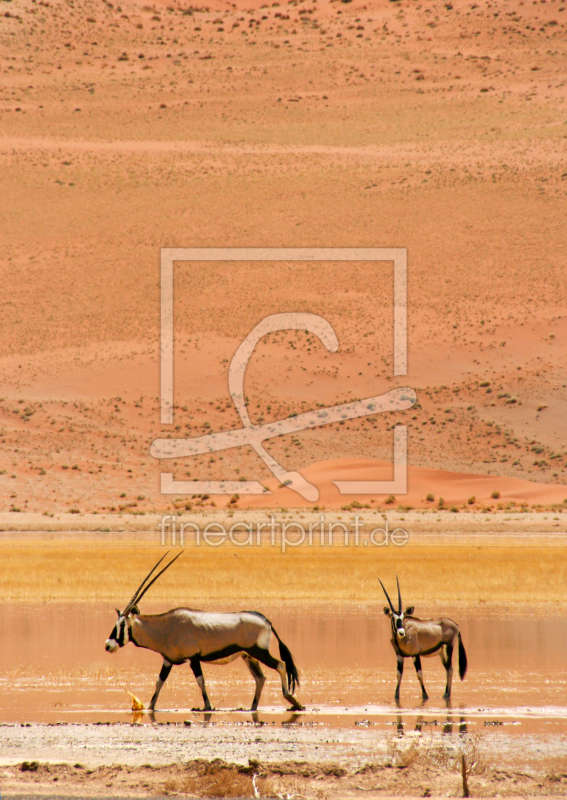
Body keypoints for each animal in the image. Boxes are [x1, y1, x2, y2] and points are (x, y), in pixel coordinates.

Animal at [104, 552, 304, 712]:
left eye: (122, 624)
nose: (108, 645)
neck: (167, 626)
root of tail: (266, 620)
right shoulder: (168, 660)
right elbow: (159, 682)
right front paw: (150, 707)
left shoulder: (193, 658)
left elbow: (200, 680)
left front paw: (207, 706)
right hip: (249, 656)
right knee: (260, 678)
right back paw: (253, 707)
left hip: (259, 651)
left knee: (280, 665)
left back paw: (291, 699)